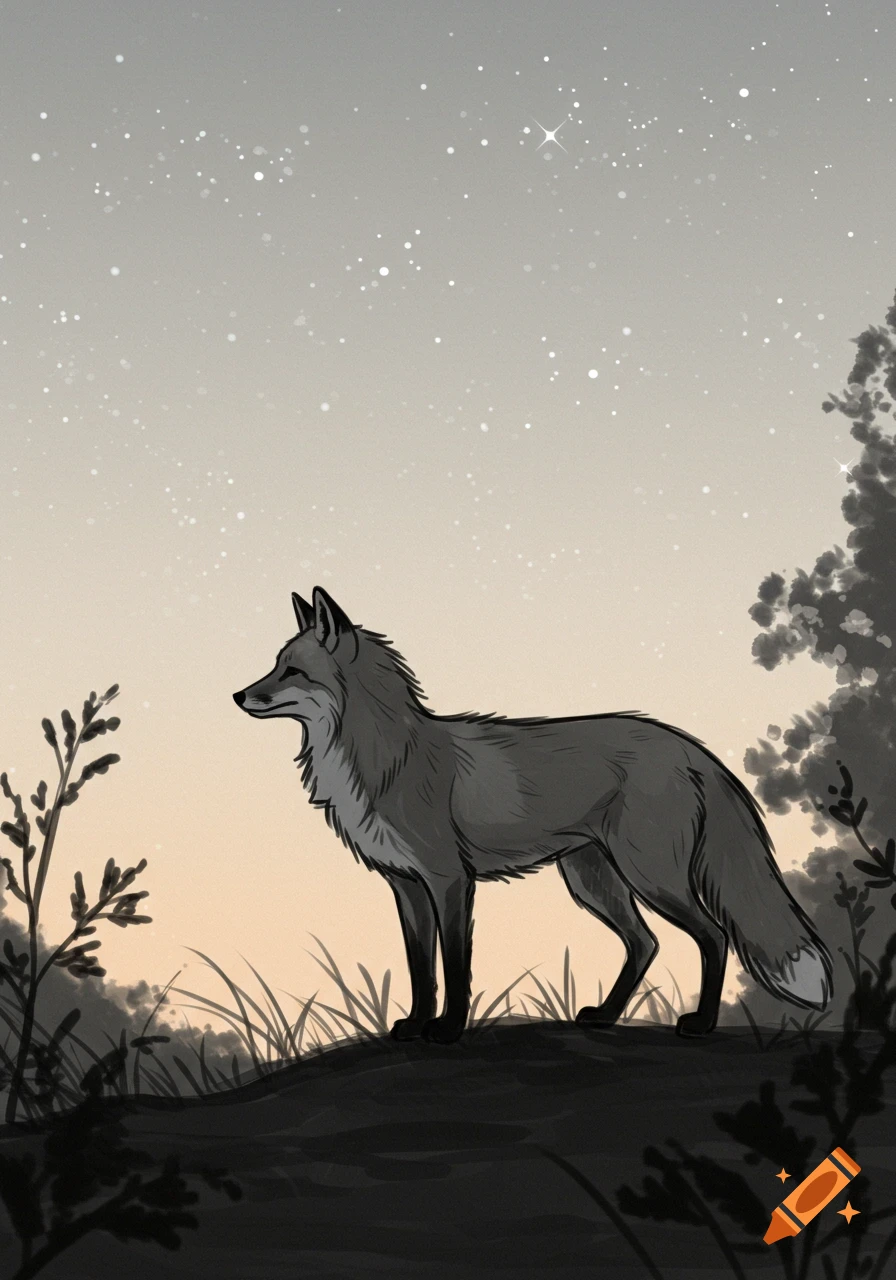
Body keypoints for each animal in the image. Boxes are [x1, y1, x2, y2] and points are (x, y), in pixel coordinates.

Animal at [233, 586, 833, 1045]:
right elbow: (421, 970)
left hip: (651, 877)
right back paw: (605, 1016)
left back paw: (702, 1024)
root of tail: (688, 745)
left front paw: (448, 1030)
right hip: (593, 880)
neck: (387, 757)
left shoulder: (450, 880)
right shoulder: (406, 887)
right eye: (275, 665)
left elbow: (456, 966)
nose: (238, 695)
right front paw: (416, 1025)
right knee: (645, 943)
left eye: (291, 670)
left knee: (713, 936)